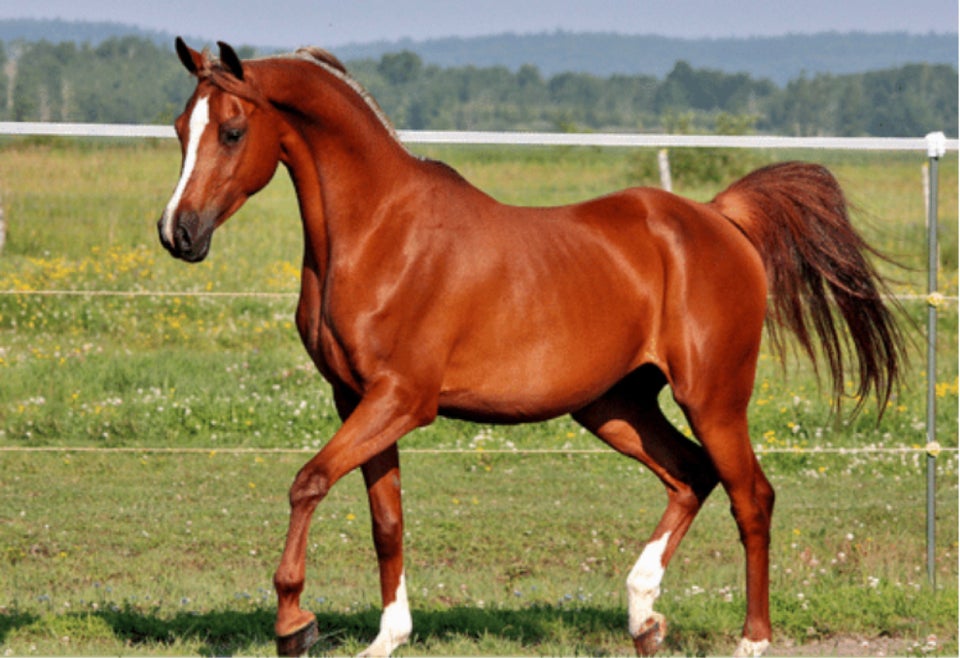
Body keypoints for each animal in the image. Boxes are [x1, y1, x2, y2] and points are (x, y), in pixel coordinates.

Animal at [161, 41, 904, 656]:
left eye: (232, 131)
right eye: (178, 129)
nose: (179, 233)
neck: (379, 233)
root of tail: (720, 220)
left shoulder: (401, 400)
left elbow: (308, 481)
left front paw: (294, 622)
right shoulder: (358, 400)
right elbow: (386, 521)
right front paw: (385, 639)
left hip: (714, 398)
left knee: (751, 496)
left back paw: (751, 640)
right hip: (615, 406)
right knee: (691, 474)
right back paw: (643, 617)